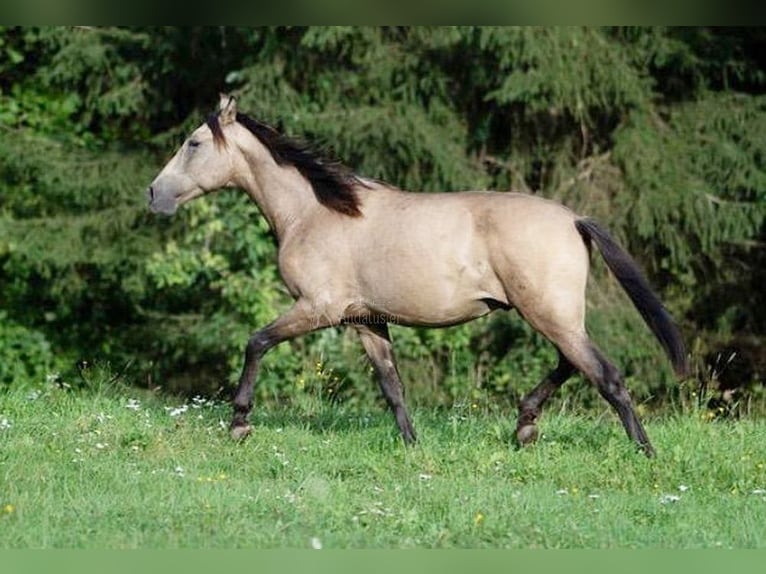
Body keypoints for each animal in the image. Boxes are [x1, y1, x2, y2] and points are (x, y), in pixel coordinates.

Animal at [147, 94, 688, 457]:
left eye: (193, 143)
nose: (154, 194)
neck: (315, 212)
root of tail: (574, 219)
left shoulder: (318, 308)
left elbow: (256, 342)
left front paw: (239, 423)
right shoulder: (365, 321)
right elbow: (392, 386)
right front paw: (412, 445)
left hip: (549, 313)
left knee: (604, 374)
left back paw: (644, 452)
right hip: (554, 315)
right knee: (572, 364)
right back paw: (525, 425)